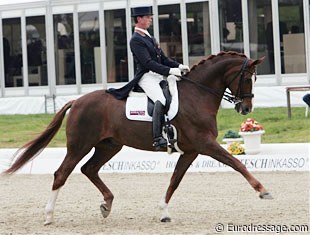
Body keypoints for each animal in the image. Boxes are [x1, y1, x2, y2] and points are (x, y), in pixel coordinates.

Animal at [4, 51, 272, 224]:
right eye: (247, 78)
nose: (246, 109)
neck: (197, 95)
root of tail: (77, 101)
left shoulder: (191, 150)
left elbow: (175, 180)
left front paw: (163, 212)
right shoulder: (205, 144)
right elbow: (236, 163)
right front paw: (263, 191)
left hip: (109, 146)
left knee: (89, 169)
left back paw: (107, 204)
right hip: (80, 145)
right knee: (62, 173)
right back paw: (49, 216)